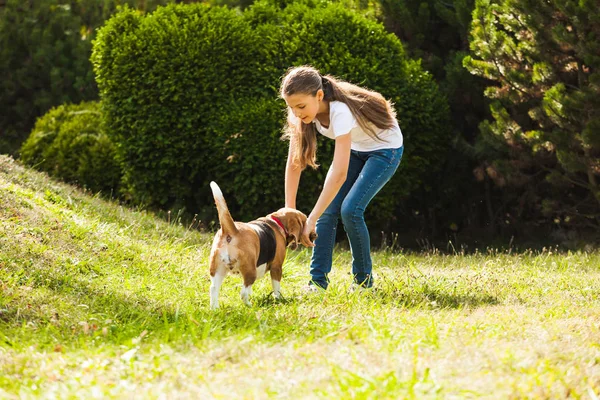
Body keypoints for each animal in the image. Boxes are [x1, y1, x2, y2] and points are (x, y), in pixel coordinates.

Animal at [210, 181, 316, 310]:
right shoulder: (276, 267)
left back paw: (215, 309)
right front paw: (279, 299)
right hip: (250, 272)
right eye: (305, 221)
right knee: (243, 292)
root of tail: (232, 231)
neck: (277, 222)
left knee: (214, 289)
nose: (315, 234)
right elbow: (277, 287)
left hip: (218, 270)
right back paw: (250, 306)